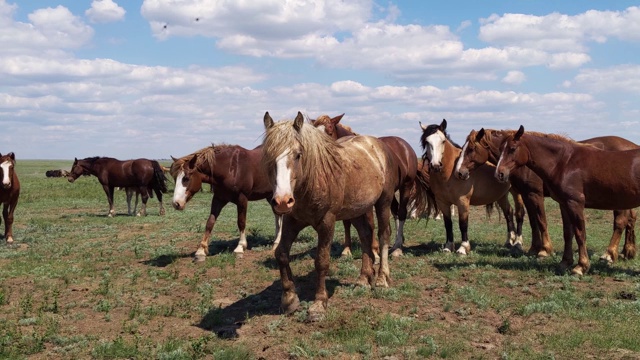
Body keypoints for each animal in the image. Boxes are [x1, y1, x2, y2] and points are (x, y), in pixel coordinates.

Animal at [262, 112, 400, 320]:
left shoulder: (327, 222)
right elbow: (281, 254)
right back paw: (363, 279)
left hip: (383, 203)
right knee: (366, 236)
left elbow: (321, 261)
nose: (282, 201)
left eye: (298, 154)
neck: (313, 180)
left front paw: (319, 304)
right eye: (268, 157)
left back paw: (382, 278)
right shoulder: (292, 221)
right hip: (357, 210)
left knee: (383, 235)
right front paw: (289, 299)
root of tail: (378, 145)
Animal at [310, 114, 436, 258]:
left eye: (329, 130)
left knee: (402, 212)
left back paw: (398, 248)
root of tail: (405, 146)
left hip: (406, 186)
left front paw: (374, 250)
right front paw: (347, 249)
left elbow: (370, 223)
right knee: (395, 211)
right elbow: (347, 222)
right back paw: (396, 241)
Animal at [420, 119, 524, 255]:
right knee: (509, 213)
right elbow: (448, 224)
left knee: (519, 214)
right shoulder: (442, 202)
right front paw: (448, 247)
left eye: (442, 141)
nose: (436, 165)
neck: (450, 172)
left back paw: (518, 242)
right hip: (502, 195)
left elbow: (463, 224)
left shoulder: (463, 201)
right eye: (427, 142)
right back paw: (509, 241)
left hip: (517, 193)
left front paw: (463, 248)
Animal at [456, 128, 636, 262]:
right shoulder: (526, 195)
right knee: (630, 221)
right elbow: (533, 222)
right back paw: (626, 251)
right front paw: (534, 248)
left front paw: (545, 250)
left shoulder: (536, 194)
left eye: (471, 149)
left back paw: (608, 254)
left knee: (620, 222)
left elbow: (541, 221)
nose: (459, 172)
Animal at [496, 126, 640, 276]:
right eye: (500, 148)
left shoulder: (574, 203)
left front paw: (581, 266)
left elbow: (580, 234)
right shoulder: (564, 204)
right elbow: (568, 233)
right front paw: (565, 262)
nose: (499, 173)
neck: (564, 163)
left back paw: (609, 256)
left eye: (512, 148)